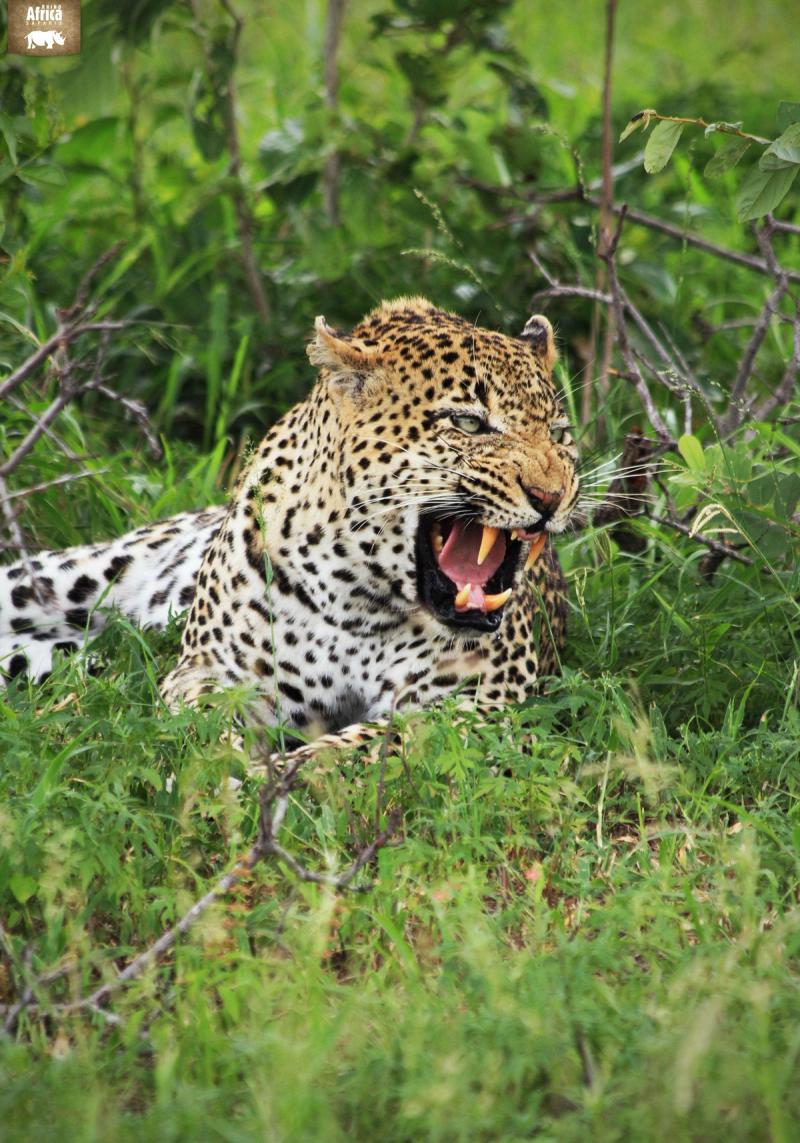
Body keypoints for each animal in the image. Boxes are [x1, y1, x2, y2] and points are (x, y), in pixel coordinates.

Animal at [0, 298, 579, 764]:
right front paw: (223, 772)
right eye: (468, 424)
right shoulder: (213, 672)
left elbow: (354, 750)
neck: (363, 601)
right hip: (54, 579)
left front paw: (277, 783)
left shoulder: (477, 708)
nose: (551, 497)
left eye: (558, 433)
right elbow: (206, 721)